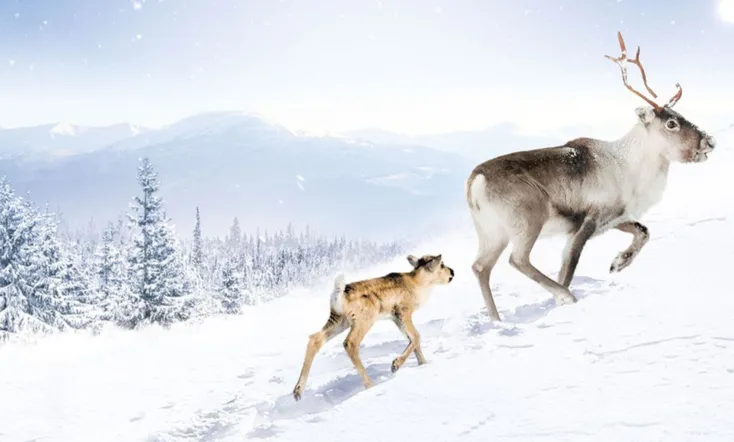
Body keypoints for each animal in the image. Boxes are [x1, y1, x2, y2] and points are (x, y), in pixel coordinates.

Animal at [292, 254, 455, 401]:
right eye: (442, 264)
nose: (452, 272)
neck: (418, 284)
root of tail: (339, 295)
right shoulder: (403, 312)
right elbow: (416, 336)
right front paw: (395, 365)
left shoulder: (395, 318)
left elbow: (413, 340)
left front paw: (423, 363)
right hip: (364, 320)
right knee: (350, 343)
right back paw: (369, 384)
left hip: (339, 321)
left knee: (315, 339)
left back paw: (297, 392)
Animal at [465, 31, 716, 322]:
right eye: (671, 123)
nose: (710, 141)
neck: (630, 167)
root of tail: (476, 182)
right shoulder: (589, 219)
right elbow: (569, 264)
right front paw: (563, 299)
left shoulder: (615, 217)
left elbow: (644, 232)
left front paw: (618, 263)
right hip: (527, 221)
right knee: (517, 260)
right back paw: (564, 296)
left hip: (491, 233)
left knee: (480, 267)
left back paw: (497, 320)